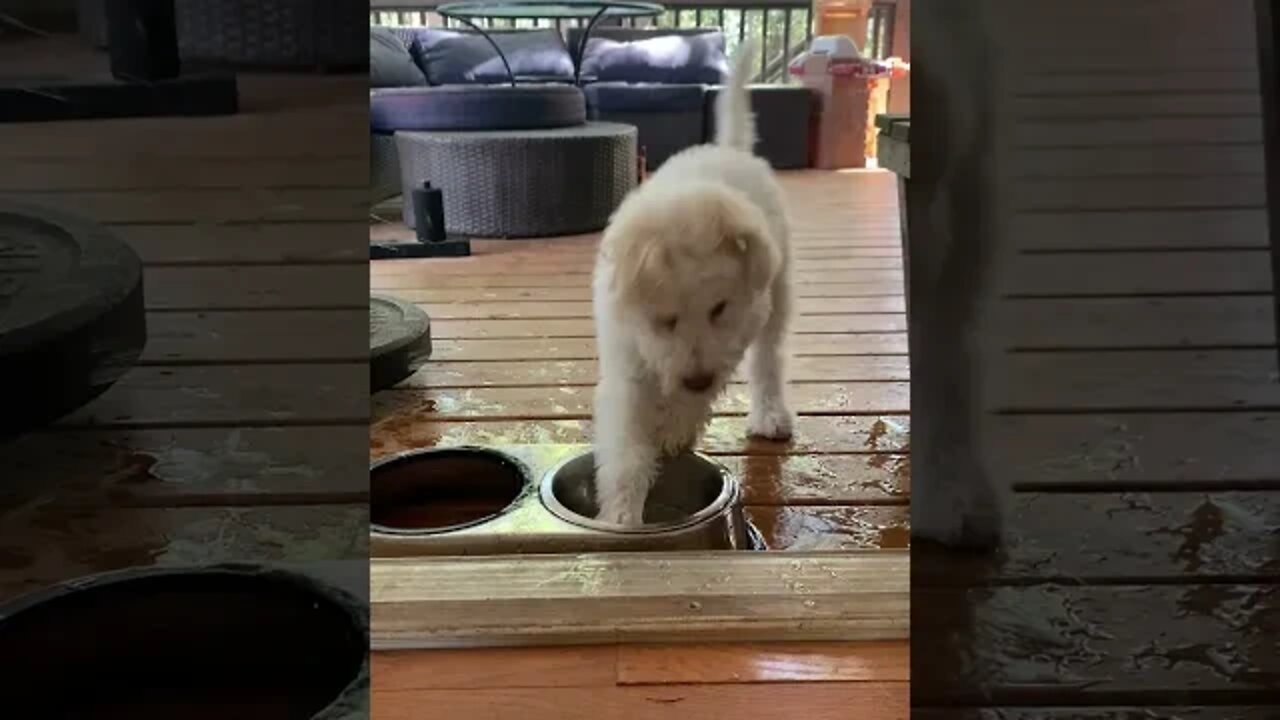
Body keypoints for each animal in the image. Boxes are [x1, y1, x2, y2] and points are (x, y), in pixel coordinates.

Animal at [588, 39, 788, 525]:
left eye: (719, 308)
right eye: (664, 319)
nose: (695, 379)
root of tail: (728, 149)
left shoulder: (731, 337)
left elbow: (697, 396)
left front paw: (676, 429)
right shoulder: (625, 362)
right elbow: (626, 451)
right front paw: (621, 518)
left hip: (777, 293)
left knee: (768, 360)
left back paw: (770, 412)